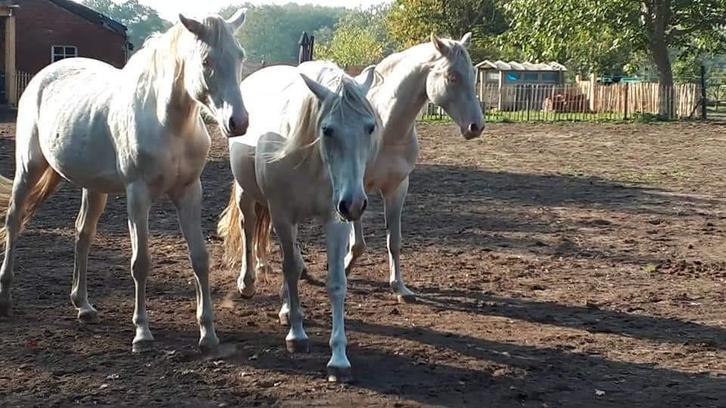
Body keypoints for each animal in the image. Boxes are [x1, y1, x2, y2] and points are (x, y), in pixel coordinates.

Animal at [0, 10, 248, 353]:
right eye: (206, 60)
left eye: (240, 56)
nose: (238, 122)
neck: (168, 124)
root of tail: (43, 76)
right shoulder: (138, 196)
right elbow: (140, 262)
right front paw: (142, 333)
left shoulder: (189, 193)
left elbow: (200, 258)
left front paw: (208, 334)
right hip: (29, 169)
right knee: (14, 221)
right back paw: (6, 298)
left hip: (93, 188)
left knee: (82, 234)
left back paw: (83, 305)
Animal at [217, 61, 380, 382]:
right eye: (327, 130)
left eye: (370, 127)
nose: (355, 203)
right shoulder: (282, 215)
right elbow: (290, 269)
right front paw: (297, 335)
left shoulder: (335, 220)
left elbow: (335, 282)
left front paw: (338, 359)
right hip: (248, 196)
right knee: (249, 227)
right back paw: (248, 284)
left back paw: (284, 308)